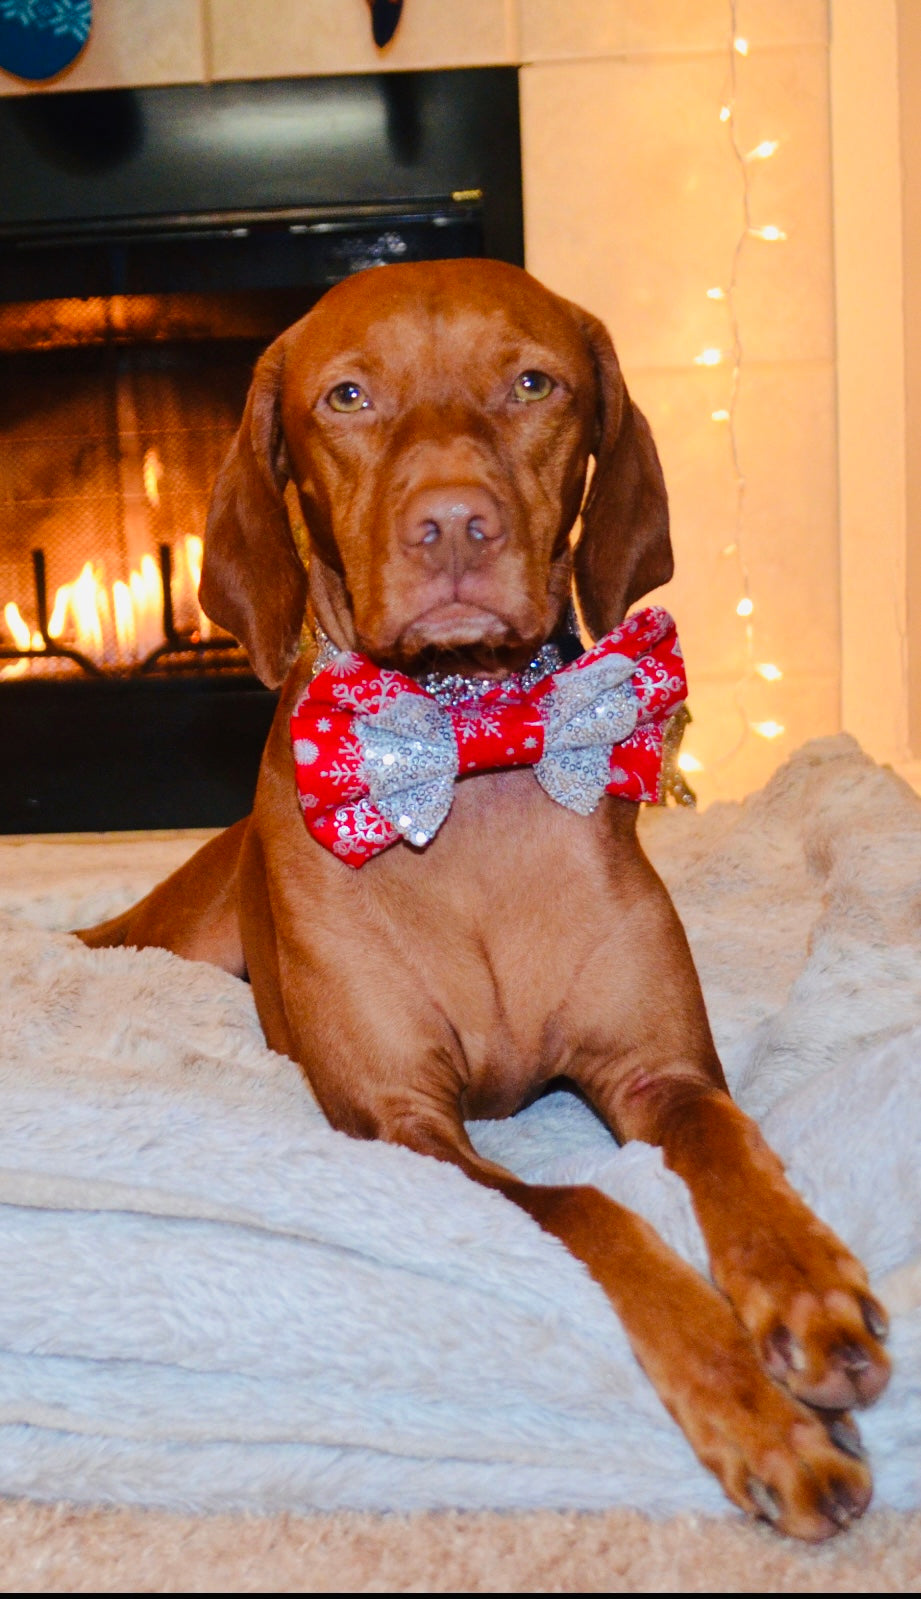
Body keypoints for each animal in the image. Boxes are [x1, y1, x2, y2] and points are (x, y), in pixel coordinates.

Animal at [80, 259, 895, 1535]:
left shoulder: (663, 1072)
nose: (454, 523)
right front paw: (763, 1419)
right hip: (170, 936)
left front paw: (807, 1289)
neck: (469, 746)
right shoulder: (404, 1122)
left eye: (532, 384)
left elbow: (734, 1149)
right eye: (349, 396)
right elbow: (592, 1209)